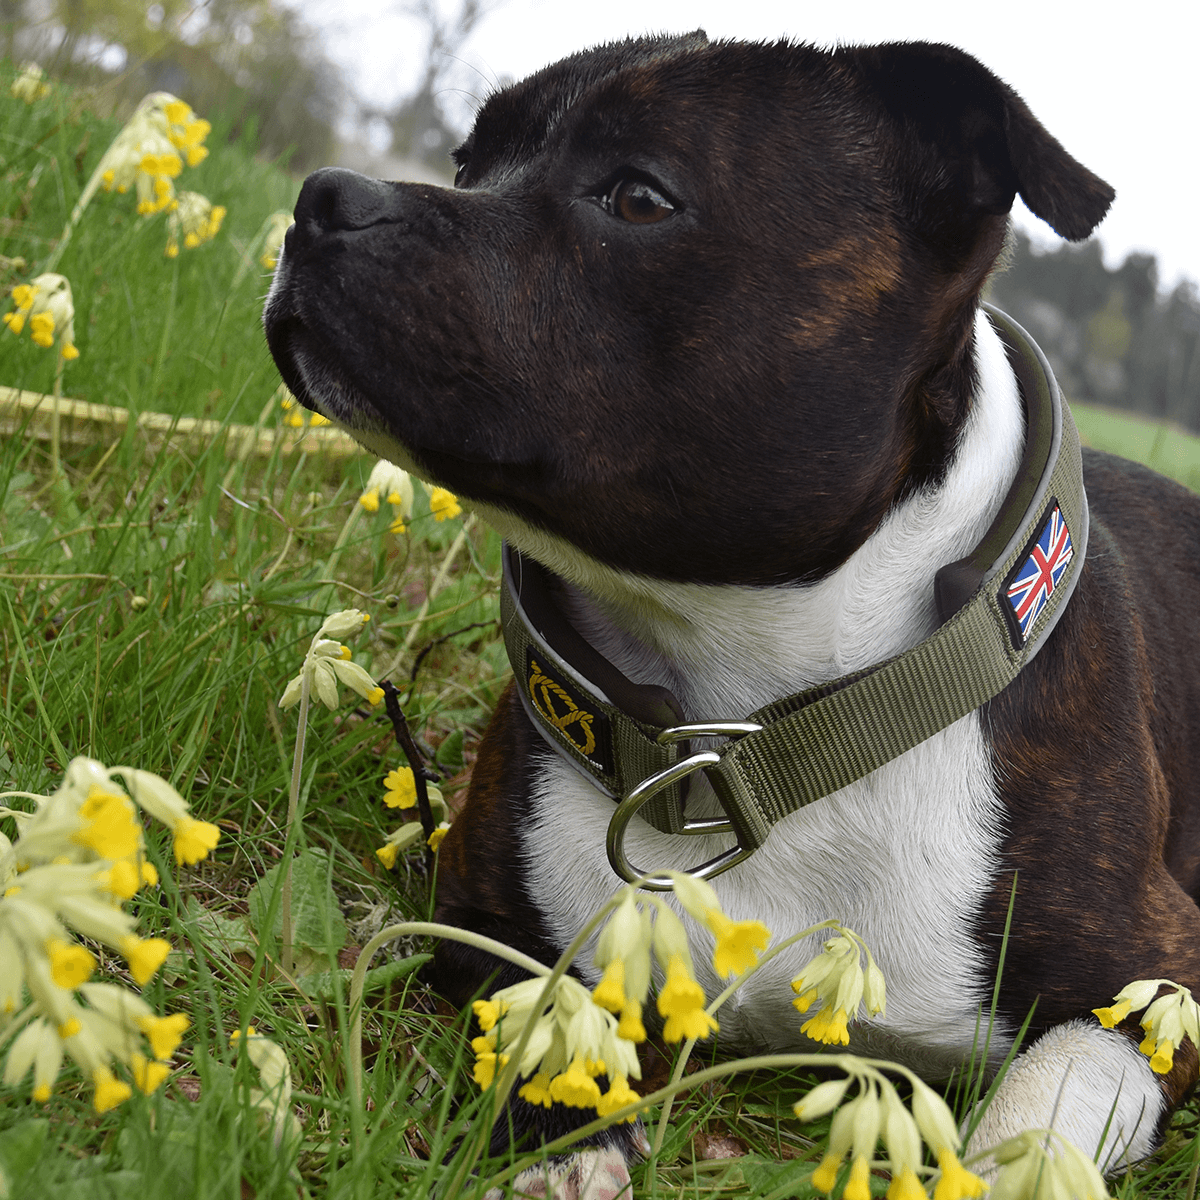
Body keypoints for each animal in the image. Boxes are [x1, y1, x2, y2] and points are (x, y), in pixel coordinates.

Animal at [267, 32, 1200, 1195]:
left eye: (638, 196)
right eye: (468, 161)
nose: (322, 198)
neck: (759, 722)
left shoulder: (1158, 992)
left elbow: (1039, 1114)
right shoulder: (485, 922)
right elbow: (546, 1010)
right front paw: (564, 1139)